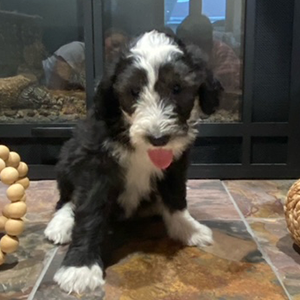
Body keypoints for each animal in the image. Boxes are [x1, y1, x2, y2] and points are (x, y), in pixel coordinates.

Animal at [45, 29, 223, 292]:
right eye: (134, 91)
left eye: (177, 88)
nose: (158, 138)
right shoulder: (97, 164)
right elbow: (89, 210)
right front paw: (80, 267)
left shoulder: (175, 163)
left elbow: (175, 196)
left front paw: (186, 228)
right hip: (69, 154)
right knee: (66, 199)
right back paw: (61, 223)